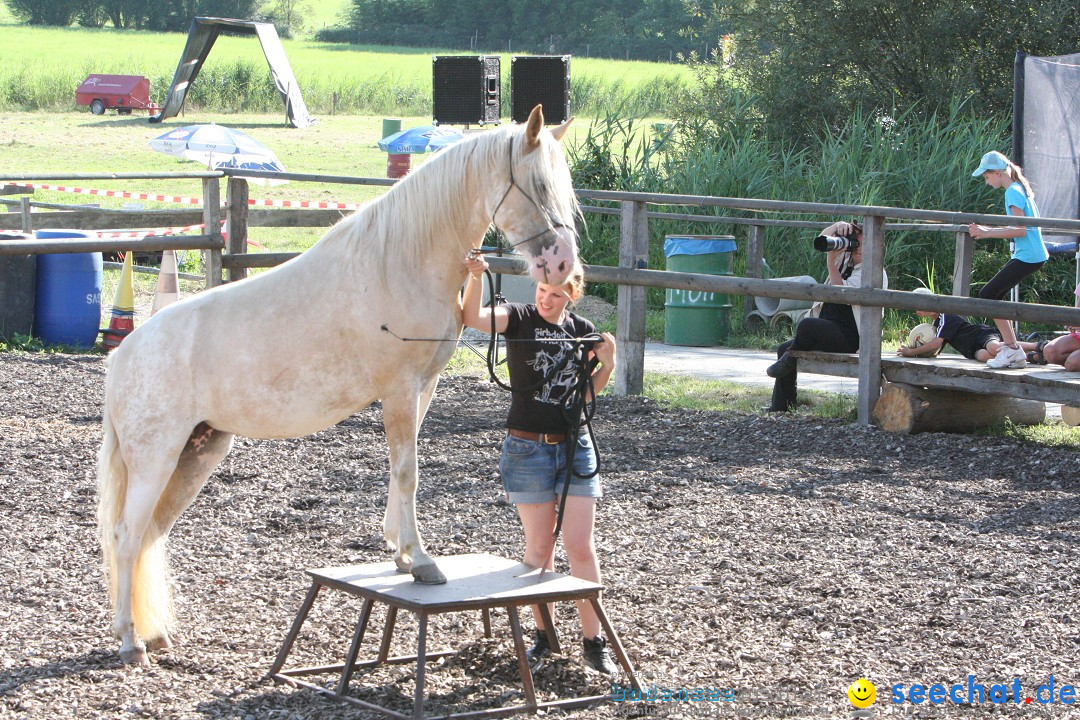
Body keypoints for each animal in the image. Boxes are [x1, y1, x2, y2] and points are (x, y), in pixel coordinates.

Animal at [97, 105, 578, 664]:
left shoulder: (422, 389)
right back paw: (130, 642)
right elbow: (408, 472)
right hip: (156, 460)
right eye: (537, 184)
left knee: (150, 534)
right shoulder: (399, 389)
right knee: (126, 537)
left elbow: (399, 469)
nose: (565, 268)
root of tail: (124, 357)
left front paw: (399, 553)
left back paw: (154, 633)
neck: (399, 261)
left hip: (197, 454)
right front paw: (421, 561)